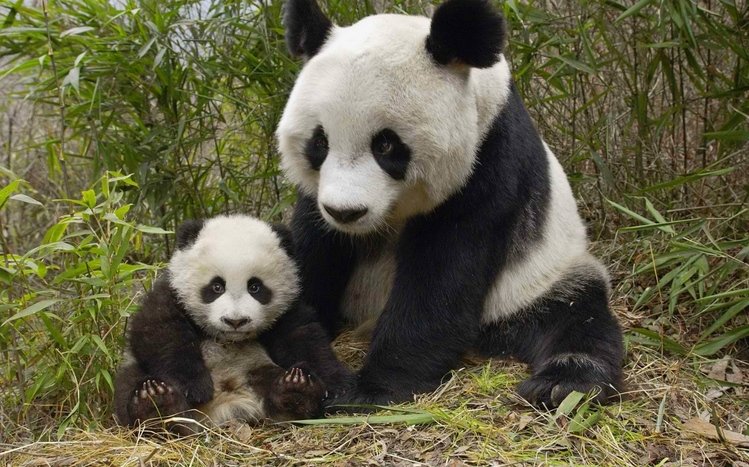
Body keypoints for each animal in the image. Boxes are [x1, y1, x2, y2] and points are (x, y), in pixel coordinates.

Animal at [114, 215, 350, 434]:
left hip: (257, 368)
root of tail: (225, 408)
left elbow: (304, 338)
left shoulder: (288, 309)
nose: (235, 321)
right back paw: (156, 406)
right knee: (130, 382)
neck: (227, 338)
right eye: (216, 286)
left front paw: (337, 386)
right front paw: (195, 386)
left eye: (255, 287)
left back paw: (296, 392)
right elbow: (159, 332)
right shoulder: (171, 293)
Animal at [276, 0, 625, 409]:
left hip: (539, 278)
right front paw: (304, 368)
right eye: (320, 142)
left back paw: (563, 383)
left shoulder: (489, 162)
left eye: (386, 144)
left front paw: (371, 388)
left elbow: (442, 276)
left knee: (576, 315)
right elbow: (313, 251)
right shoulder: (317, 199)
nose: (346, 212)